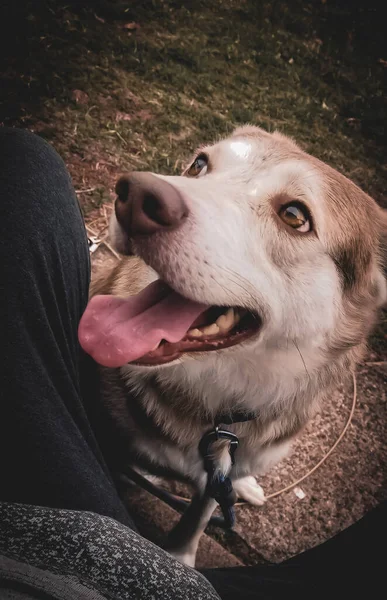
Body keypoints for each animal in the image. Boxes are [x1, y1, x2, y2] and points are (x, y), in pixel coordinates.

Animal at [79, 126, 387, 568]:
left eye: (295, 216)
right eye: (199, 165)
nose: (135, 196)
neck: (221, 410)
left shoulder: (217, 473)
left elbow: (200, 512)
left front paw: (180, 557)